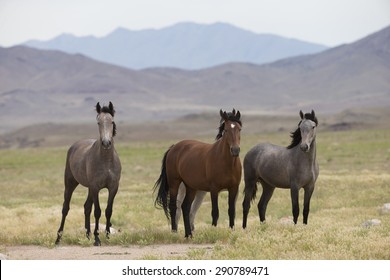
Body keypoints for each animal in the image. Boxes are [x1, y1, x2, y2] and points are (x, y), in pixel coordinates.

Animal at [54, 101, 121, 245]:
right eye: (98, 122)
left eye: (112, 121)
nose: (106, 143)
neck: (106, 160)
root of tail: (74, 146)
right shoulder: (95, 187)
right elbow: (97, 211)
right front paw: (97, 238)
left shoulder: (113, 187)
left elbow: (108, 210)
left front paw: (107, 235)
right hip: (70, 184)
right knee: (65, 208)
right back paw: (58, 238)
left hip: (89, 188)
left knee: (86, 207)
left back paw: (87, 235)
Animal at [154, 108, 242, 237]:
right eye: (226, 130)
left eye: (239, 129)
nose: (235, 150)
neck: (226, 163)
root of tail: (174, 147)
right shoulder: (214, 189)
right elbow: (215, 212)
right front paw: (213, 231)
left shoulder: (234, 188)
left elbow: (232, 211)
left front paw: (231, 230)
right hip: (174, 183)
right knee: (174, 206)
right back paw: (175, 232)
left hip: (191, 187)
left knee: (185, 207)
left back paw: (189, 234)